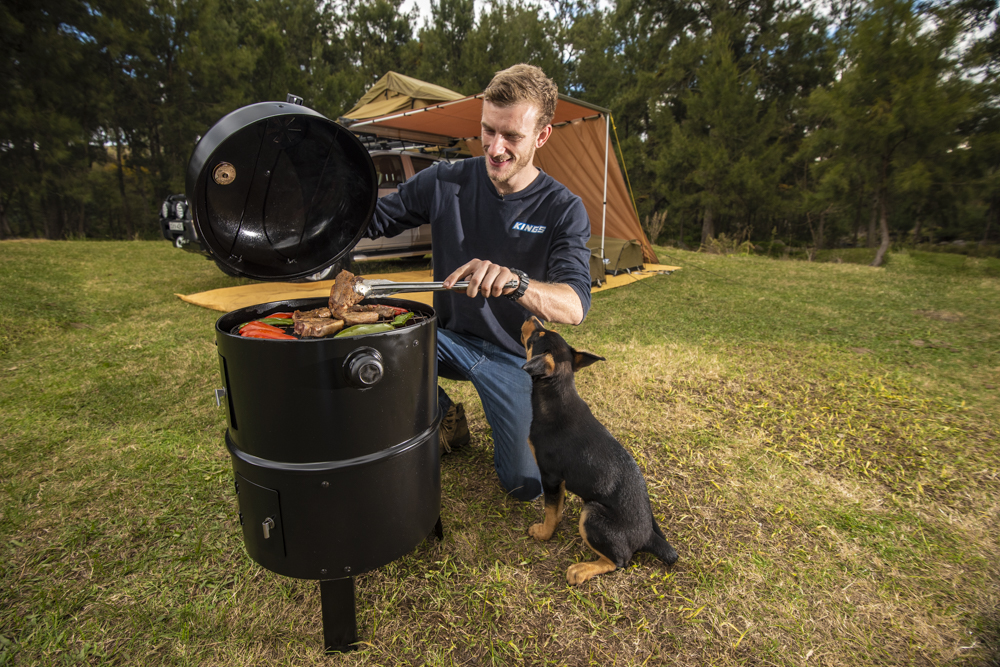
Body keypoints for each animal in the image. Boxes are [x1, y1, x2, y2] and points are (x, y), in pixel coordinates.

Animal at [520, 318, 676, 584]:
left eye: (536, 336)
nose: (532, 317)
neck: (557, 394)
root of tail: (647, 537)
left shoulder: (550, 476)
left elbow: (550, 510)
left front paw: (543, 533)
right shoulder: (559, 481)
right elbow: (557, 508)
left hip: (591, 513)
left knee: (619, 561)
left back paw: (581, 570)